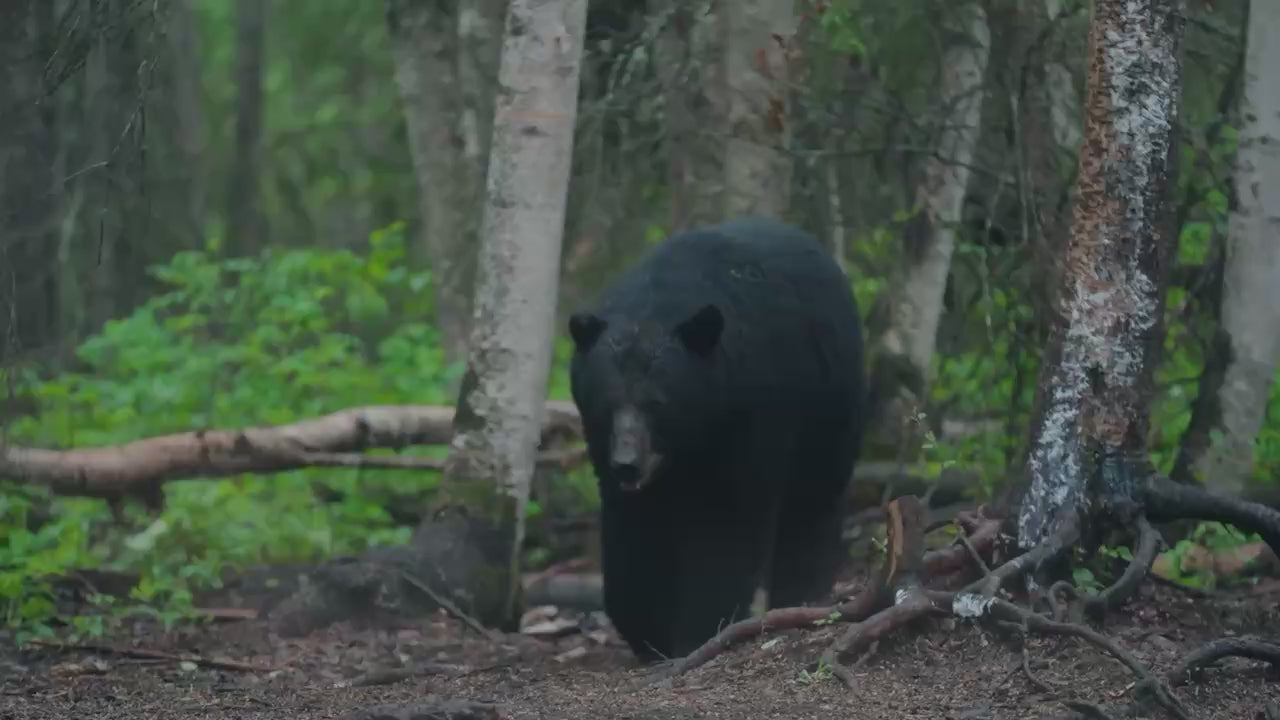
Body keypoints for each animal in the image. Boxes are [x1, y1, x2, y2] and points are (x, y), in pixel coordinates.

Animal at [566, 216, 867, 662]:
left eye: (656, 403)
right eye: (606, 402)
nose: (627, 464)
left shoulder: (749, 415)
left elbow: (723, 523)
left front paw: (700, 629)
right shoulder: (607, 454)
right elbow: (634, 531)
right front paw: (647, 631)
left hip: (829, 406)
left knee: (812, 500)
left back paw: (800, 593)